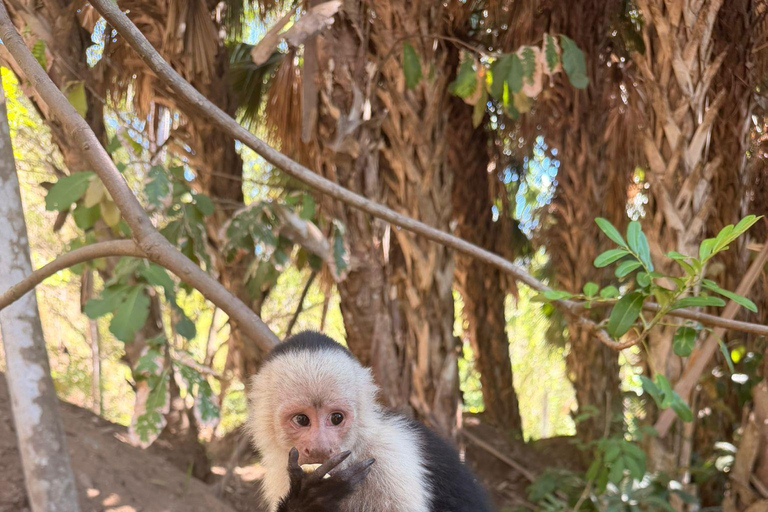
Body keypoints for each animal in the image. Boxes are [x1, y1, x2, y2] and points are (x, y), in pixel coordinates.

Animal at [247, 331, 494, 512]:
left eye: (336, 418)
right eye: (301, 419)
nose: (320, 448)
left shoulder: (389, 460)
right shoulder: (280, 472)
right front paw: (310, 501)